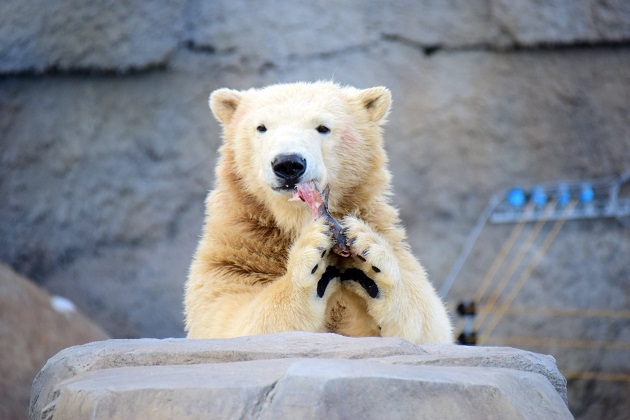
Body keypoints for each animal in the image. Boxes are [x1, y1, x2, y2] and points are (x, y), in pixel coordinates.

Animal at [184, 81, 454, 344]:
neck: (292, 220)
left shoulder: (386, 231)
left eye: (323, 127)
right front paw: (311, 258)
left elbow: (431, 324)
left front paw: (369, 253)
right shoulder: (235, 253)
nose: (288, 163)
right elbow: (228, 318)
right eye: (261, 127)